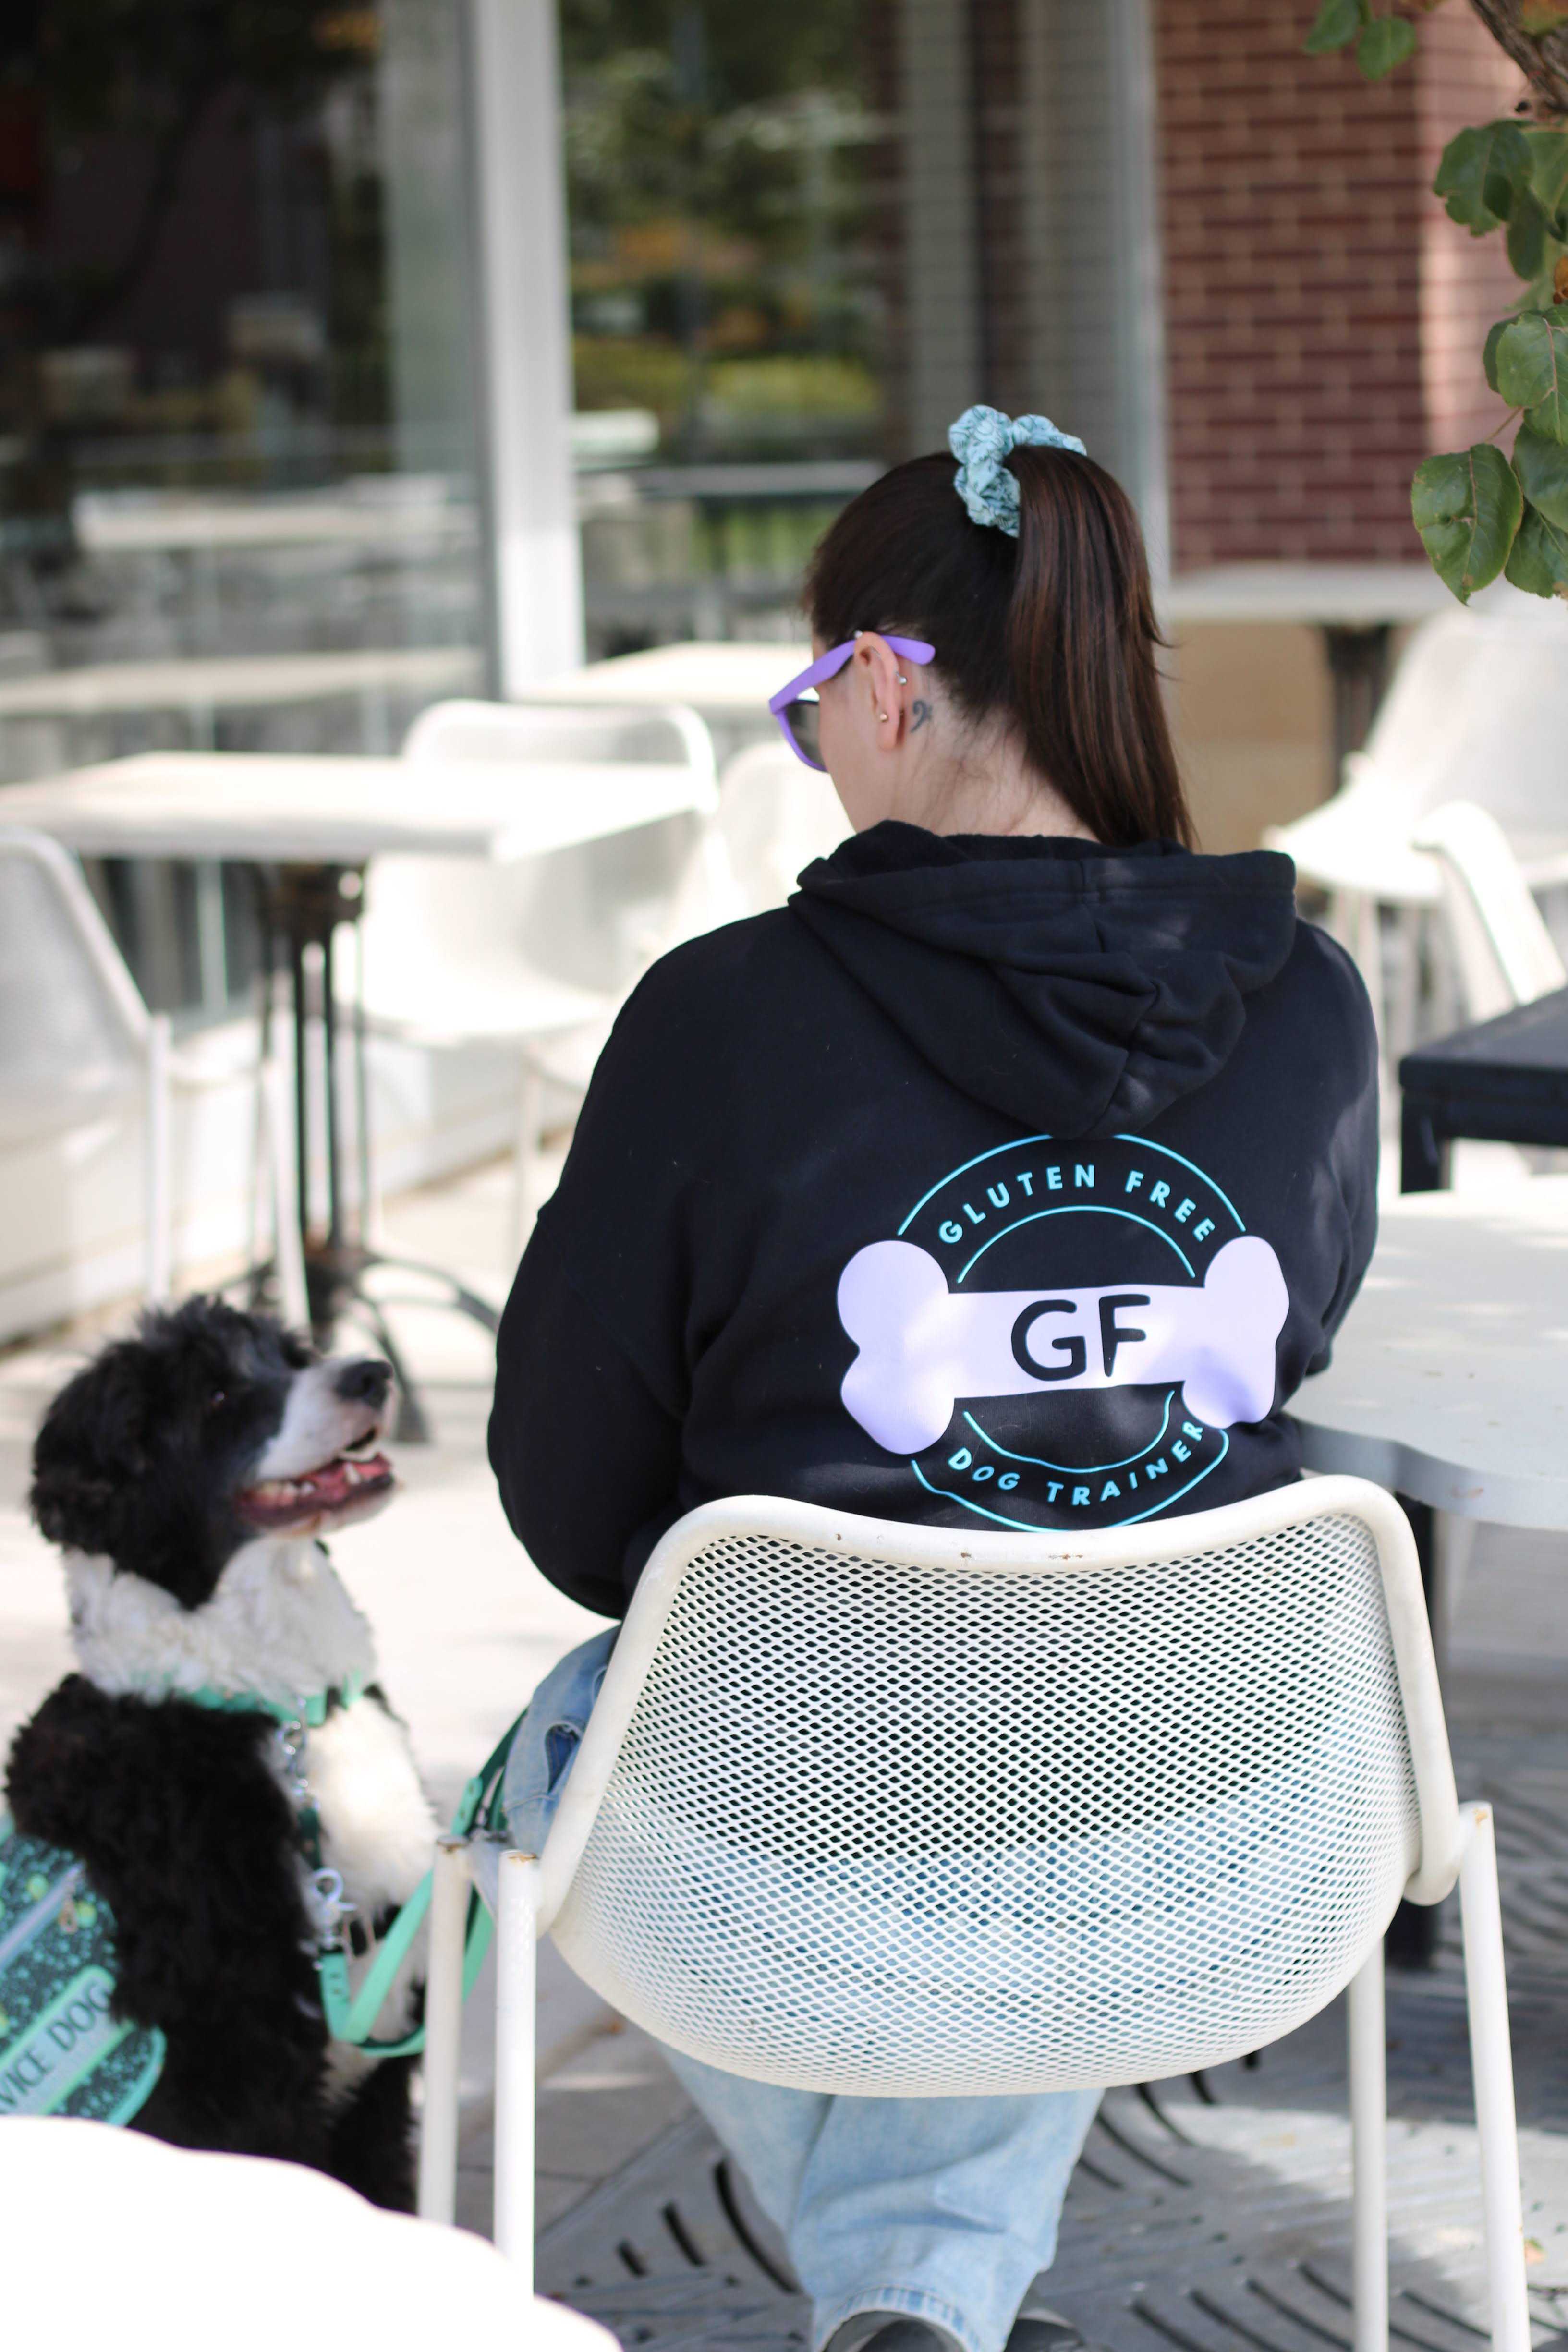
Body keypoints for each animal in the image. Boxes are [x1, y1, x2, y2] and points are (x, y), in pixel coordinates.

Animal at [6, 1298, 439, 2192]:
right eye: (214, 1397)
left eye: (292, 1355)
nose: (371, 1373)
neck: (279, 1710)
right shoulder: (241, 2092)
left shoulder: (375, 2097)